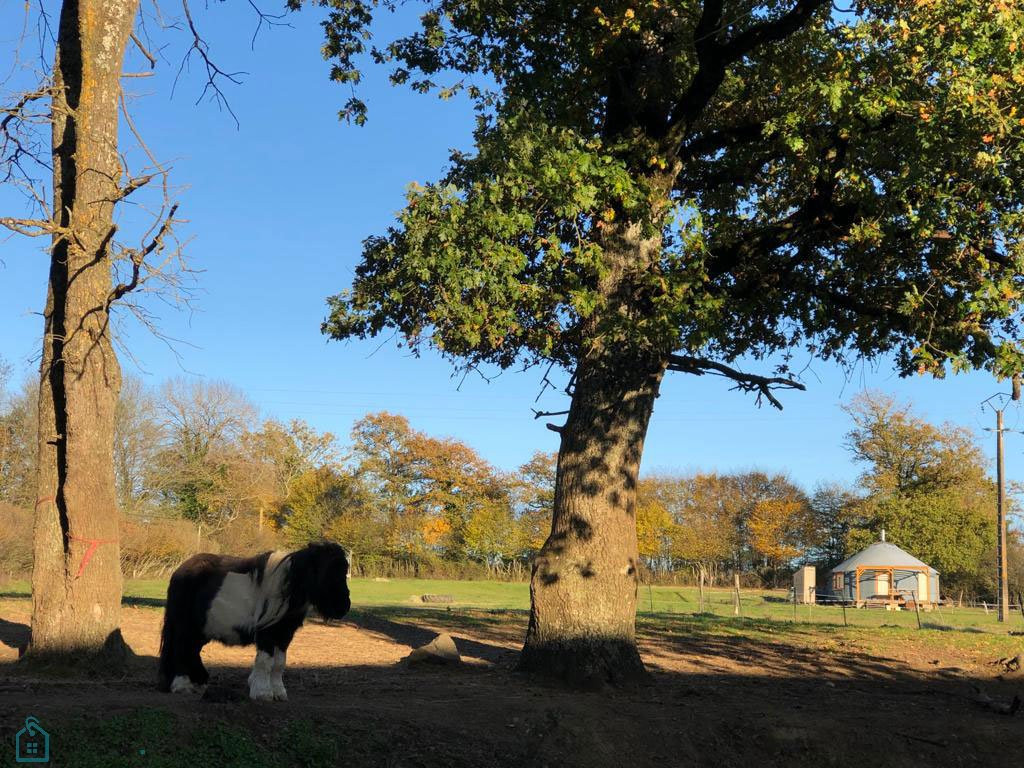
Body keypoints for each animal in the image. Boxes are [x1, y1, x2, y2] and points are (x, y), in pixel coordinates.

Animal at [157, 540, 352, 704]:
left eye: (344, 571)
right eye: (328, 572)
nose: (343, 607)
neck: (285, 588)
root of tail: (180, 571)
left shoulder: (284, 634)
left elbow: (279, 663)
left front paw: (279, 692)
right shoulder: (267, 634)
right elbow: (265, 662)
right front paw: (263, 693)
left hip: (201, 629)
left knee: (192, 650)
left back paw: (198, 683)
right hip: (185, 626)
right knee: (181, 649)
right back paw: (182, 685)